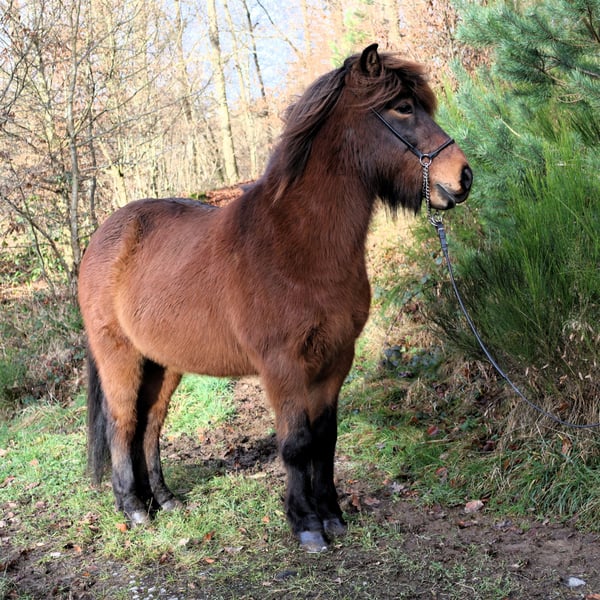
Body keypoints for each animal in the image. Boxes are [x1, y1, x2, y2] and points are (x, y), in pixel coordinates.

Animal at [78, 43, 472, 553]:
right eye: (403, 108)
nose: (463, 177)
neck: (297, 245)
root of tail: (103, 236)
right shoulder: (282, 365)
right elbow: (296, 443)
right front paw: (305, 524)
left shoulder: (335, 359)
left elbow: (325, 439)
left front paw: (332, 515)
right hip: (121, 358)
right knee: (123, 423)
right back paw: (133, 508)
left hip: (163, 363)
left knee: (150, 424)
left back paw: (163, 500)